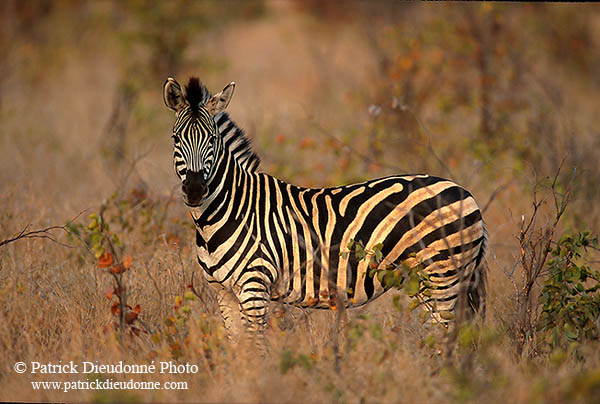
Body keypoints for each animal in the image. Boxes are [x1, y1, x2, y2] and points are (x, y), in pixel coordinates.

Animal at [164, 76, 488, 340]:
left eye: (212, 139)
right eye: (176, 138)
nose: (195, 190)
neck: (225, 212)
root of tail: (465, 192)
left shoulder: (255, 285)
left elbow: (256, 348)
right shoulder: (223, 292)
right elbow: (238, 351)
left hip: (443, 275)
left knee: (445, 338)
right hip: (435, 280)